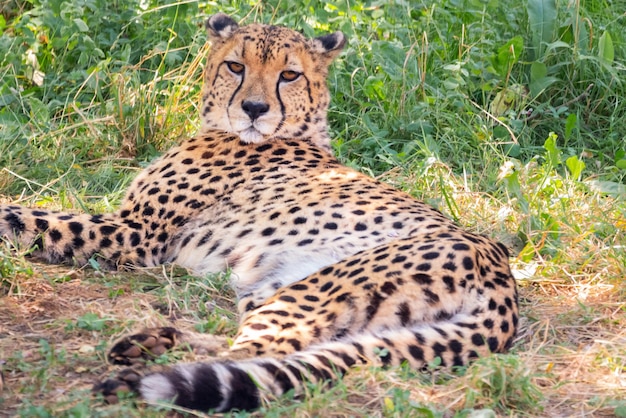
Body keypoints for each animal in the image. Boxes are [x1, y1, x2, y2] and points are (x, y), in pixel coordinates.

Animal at [0, 13, 516, 414]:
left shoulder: (137, 233)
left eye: (289, 75)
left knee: (256, 354)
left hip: (314, 291)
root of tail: (502, 271)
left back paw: (143, 375)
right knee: (249, 350)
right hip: (276, 288)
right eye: (235, 66)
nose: (253, 107)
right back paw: (150, 343)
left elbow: (29, 218)